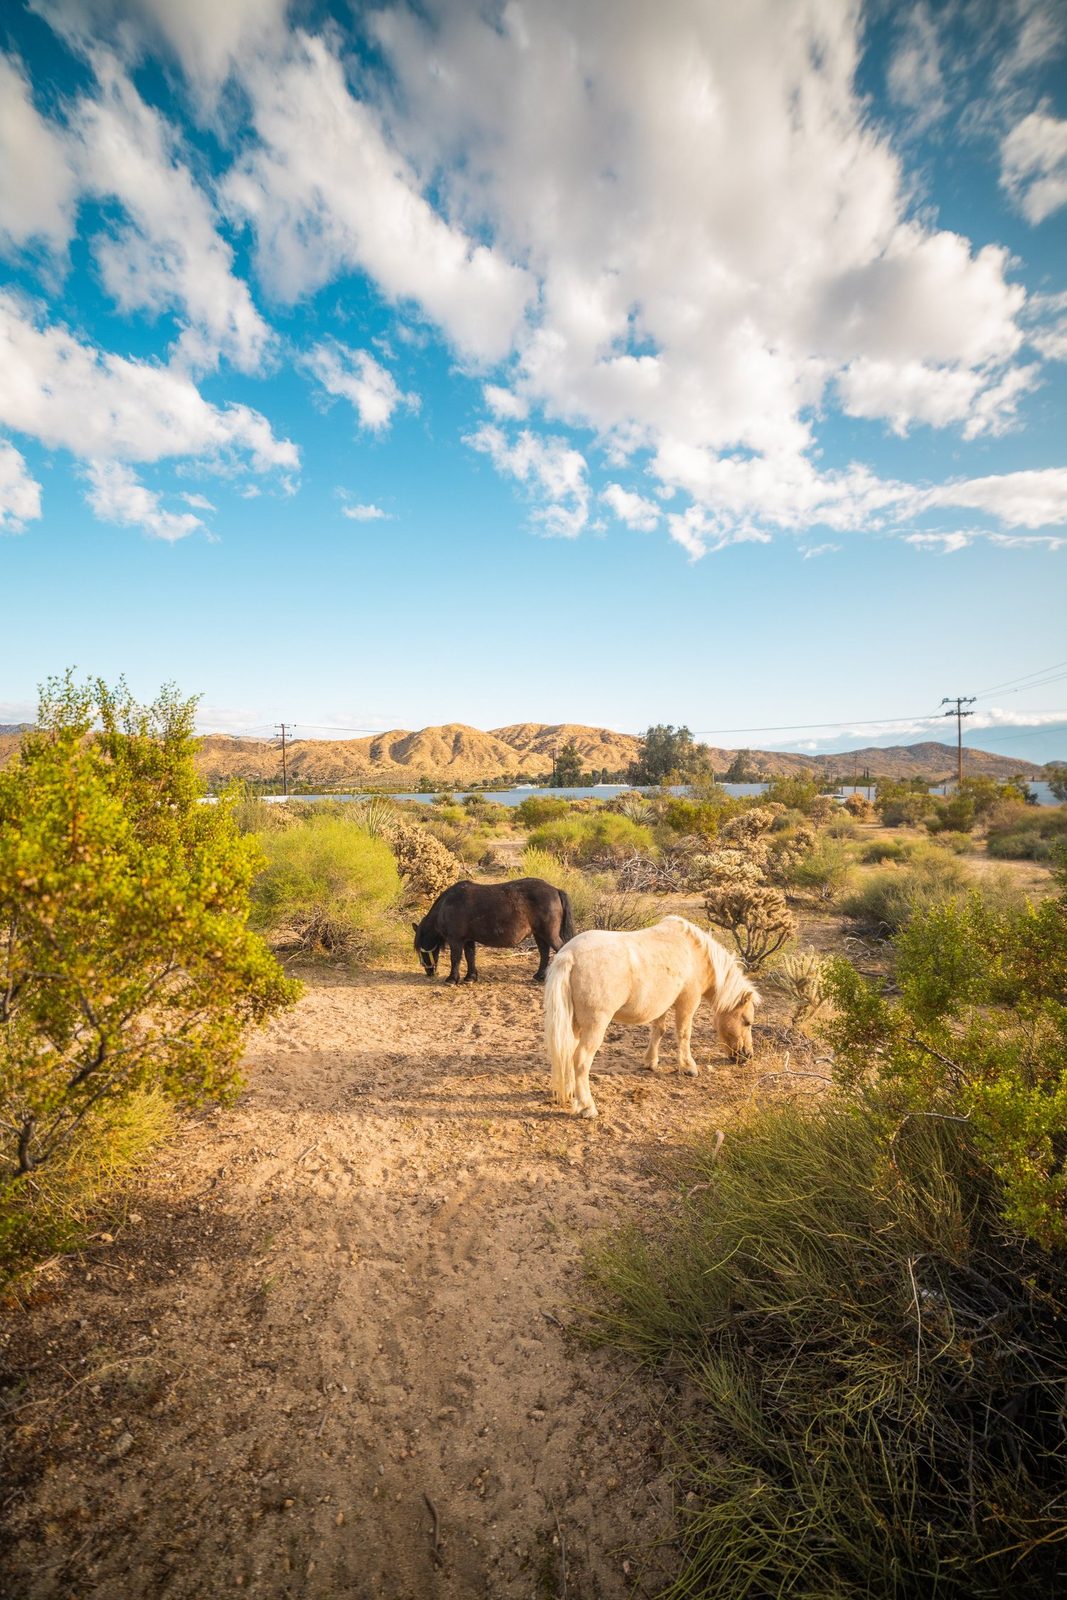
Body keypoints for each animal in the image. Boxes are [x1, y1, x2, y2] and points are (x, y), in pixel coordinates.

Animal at [413, 877, 575, 984]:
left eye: (421, 950)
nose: (429, 971)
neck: (446, 905)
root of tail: (555, 890)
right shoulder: (468, 940)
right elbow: (470, 956)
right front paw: (470, 977)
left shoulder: (456, 940)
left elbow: (456, 958)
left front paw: (452, 979)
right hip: (539, 934)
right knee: (544, 953)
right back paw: (539, 976)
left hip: (549, 934)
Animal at [543, 915, 759, 1117]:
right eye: (747, 1022)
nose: (747, 1055)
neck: (696, 951)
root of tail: (569, 955)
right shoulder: (688, 1000)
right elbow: (683, 1034)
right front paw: (688, 1067)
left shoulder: (661, 1003)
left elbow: (658, 1030)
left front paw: (650, 1062)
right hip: (595, 1025)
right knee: (580, 1060)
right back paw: (587, 1107)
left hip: (574, 1024)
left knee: (567, 1053)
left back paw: (571, 1093)